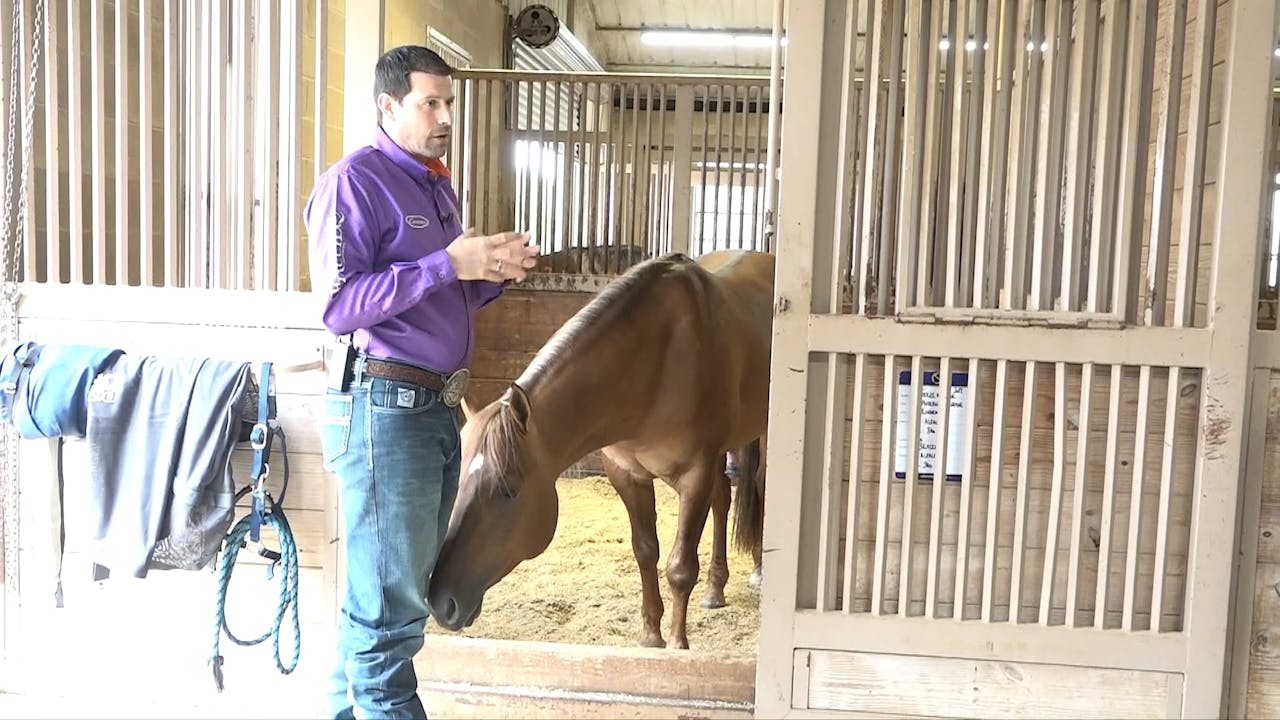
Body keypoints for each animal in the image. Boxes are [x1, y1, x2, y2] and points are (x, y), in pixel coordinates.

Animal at [427, 249, 774, 650]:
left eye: (508, 491)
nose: (441, 600)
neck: (656, 362)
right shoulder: (627, 474)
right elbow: (645, 551)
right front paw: (650, 638)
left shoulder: (694, 474)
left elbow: (680, 568)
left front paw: (677, 646)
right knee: (721, 499)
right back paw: (716, 589)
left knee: (760, 486)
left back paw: (760, 570)